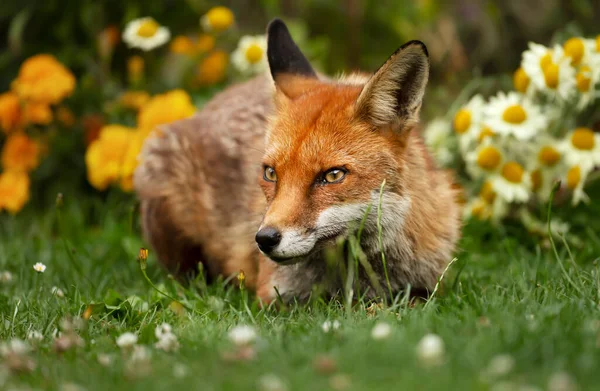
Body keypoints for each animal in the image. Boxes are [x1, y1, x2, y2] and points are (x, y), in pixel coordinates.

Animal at [134, 18, 462, 304]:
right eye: (270, 173)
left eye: (333, 175)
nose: (264, 239)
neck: (351, 281)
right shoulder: (273, 298)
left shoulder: (429, 288)